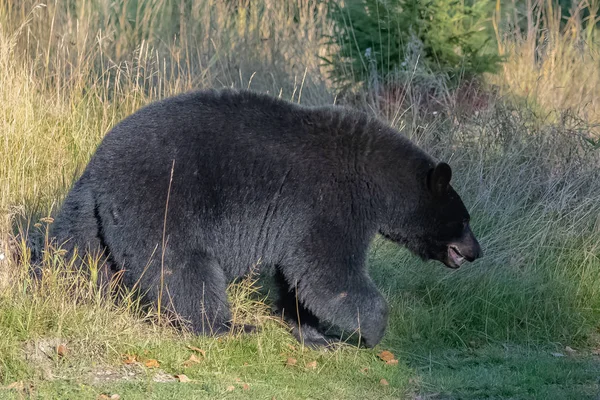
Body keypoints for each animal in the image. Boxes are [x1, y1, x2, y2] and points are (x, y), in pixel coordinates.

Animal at [51, 87, 482, 346]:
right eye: (464, 220)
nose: (476, 251)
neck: (377, 177)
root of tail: (97, 170)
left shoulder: (300, 222)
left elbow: (300, 277)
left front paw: (312, 333)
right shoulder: (332, 201)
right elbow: (329, 273)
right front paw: (373, 331)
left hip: (91, 219)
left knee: (79, 258)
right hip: (160, 201)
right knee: (183, 269)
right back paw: (226, 327)